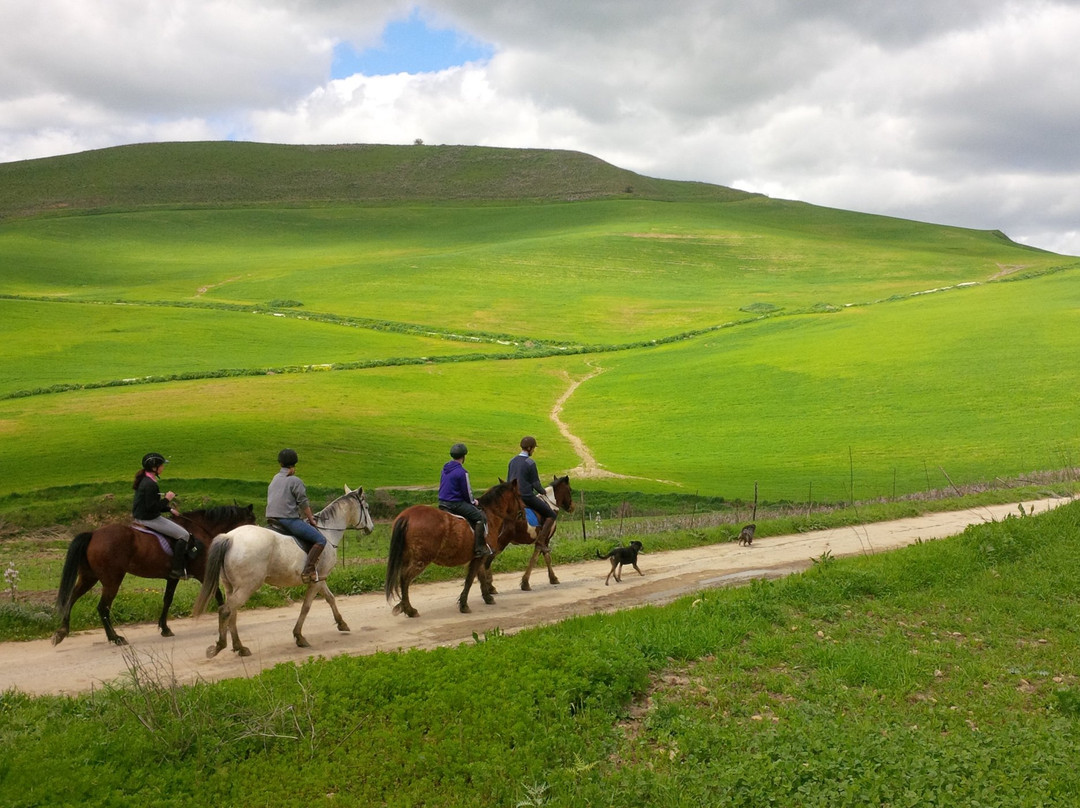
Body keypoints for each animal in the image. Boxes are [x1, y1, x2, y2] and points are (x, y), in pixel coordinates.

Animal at [53, 501, 258, 648]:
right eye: (252, 520)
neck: (201, 529)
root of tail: (94, 534)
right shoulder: (202, 572)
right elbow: (218, 595)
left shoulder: (173, 577)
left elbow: (167, 600)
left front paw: (165, 628)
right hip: (112, 581)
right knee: (103, 608)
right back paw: (115, 638)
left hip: (89, 577)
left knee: (72, 598)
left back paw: (62, 632)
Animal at [194, 486, 375, 656]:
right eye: (366, 507)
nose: (371, 528)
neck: (327, 531)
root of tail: (229, 538)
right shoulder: (317, 580)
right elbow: (306, 606)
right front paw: (299, 636)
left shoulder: (319, 578)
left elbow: (330, 598)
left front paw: (341, 623)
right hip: (247, 586)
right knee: (226, 610)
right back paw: (220, 645)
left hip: (230, 586)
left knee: (233, 612)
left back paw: (240, 647)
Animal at [384, 479, 527, 617]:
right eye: (519, 495)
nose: (524, 511)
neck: (490, 514)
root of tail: (407, 516)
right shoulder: (480, 556)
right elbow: (470, 579)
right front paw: (464, 605)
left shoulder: (479, 557)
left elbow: (480, 577)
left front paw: (487, 597)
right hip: (421, 560)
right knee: (405, 578)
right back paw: (409, 610)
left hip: (407, 558)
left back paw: (404, 606)